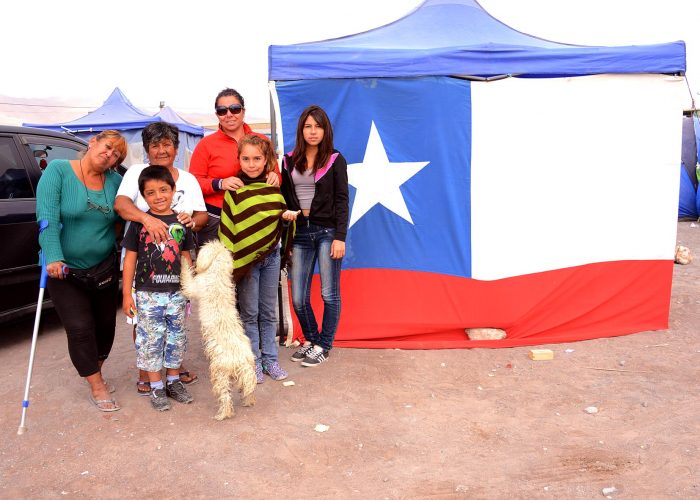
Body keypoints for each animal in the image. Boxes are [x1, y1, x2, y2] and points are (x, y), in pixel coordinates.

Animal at [180, 240, 258, 420]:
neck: (217, 273)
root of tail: (240, 359)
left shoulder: (194, 287)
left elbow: (186, 277)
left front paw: (183, 259)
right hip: (246, 370)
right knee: (248, 388)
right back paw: (248, 401)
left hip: (219, 373)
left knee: (226, 397)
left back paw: (223, 414)